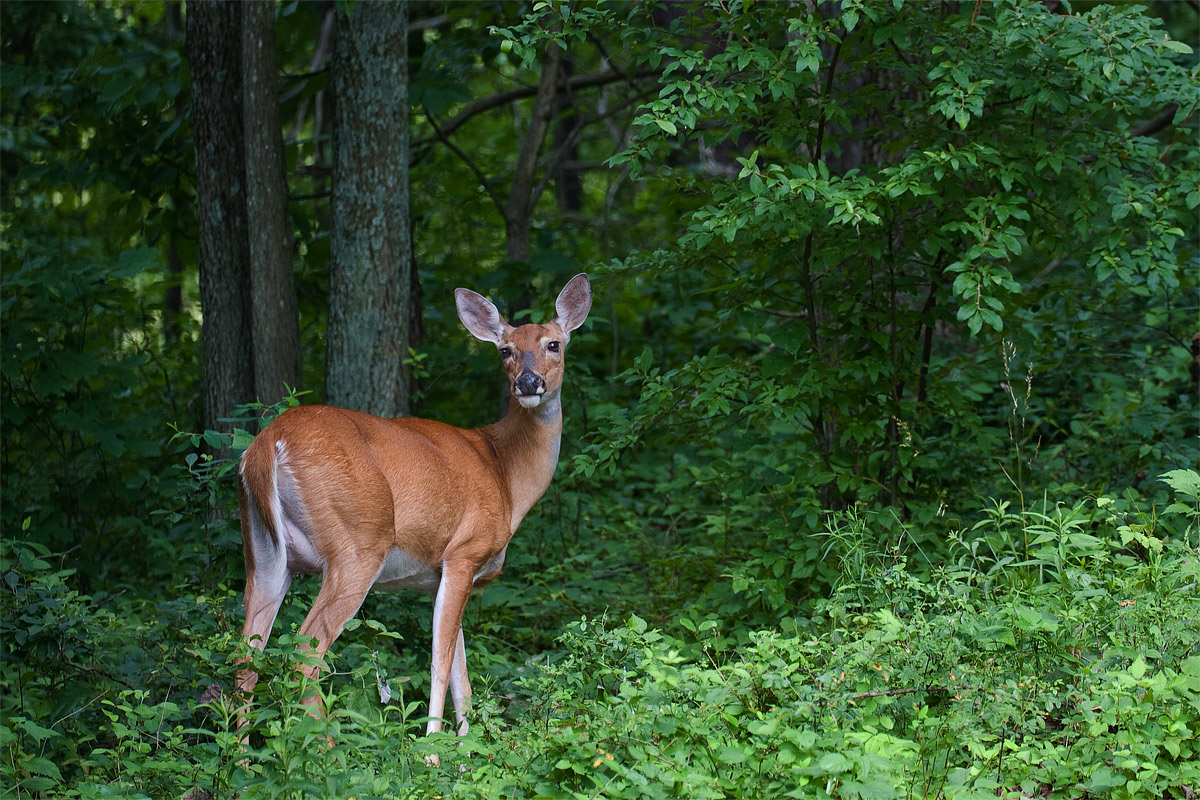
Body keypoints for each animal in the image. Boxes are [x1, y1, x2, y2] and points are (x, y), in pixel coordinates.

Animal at [234, 272, 590, 753]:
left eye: (554, 343)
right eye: (505, 349)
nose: (529, 382)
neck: (505, 473)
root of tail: (267, 446)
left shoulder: (443, 577)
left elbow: (462, 676)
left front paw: (466, 753)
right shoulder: (464, 552)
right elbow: (440, 665)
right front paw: (434, 754)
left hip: (264, 553)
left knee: (245, 658)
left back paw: (239, 760)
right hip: (358, 542)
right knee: (304, 655)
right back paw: (330, 757)